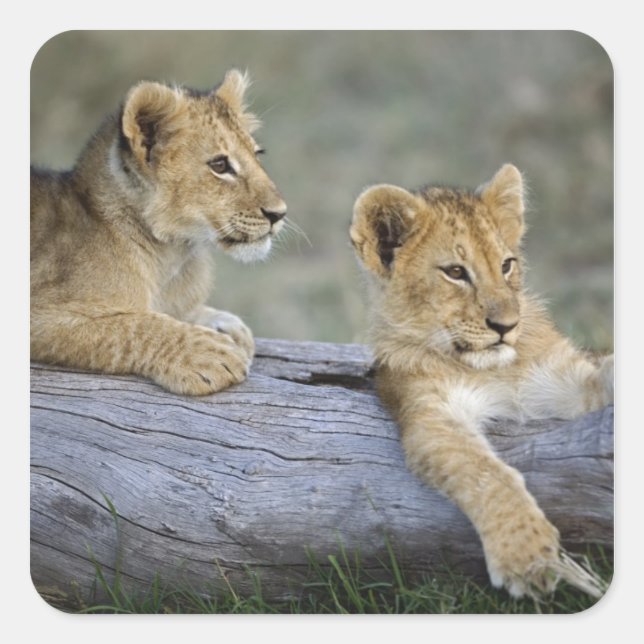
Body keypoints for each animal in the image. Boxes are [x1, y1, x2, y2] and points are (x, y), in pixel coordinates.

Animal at [31, 69, 287, 396]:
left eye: (257, 154)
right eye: (219, 165)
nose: (279, 213)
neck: (173, 257)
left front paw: (225, 324)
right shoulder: (40, 312)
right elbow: (128, 326)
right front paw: (208, 353)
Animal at [350, 164, 613, 598]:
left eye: (506, 265)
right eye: (456, 272)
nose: (506, 326)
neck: (494, 369)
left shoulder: (565, 378)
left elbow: (605, 373)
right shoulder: (429, 412)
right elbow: (486, 472)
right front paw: (526, 557)